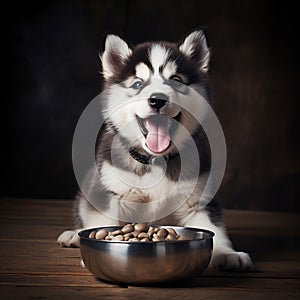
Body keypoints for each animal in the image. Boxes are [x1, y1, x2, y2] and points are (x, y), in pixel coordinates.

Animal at [56, 29, 253, 270]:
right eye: (138, 84)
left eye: (176, 81)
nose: (157, 100)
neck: (155, 160)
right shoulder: (106, 192)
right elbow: (102, 222)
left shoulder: (199, 201)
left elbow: (214, 228)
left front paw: (227, 253)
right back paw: (73, 235)